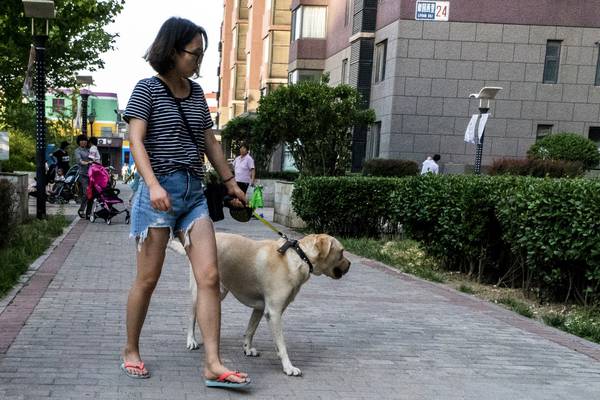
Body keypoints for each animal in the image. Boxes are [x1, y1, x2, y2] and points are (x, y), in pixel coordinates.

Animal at [169, 231, 350, 376]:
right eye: (341, 252)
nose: (350, 264)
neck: (300, 257)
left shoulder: (260, 308)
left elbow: (250, 330)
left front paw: (247, 348)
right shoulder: (274, 312)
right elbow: (281, 345)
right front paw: (288, 367)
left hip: (218, 291)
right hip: (200, 290)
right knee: (191, 315)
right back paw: (191, 340)